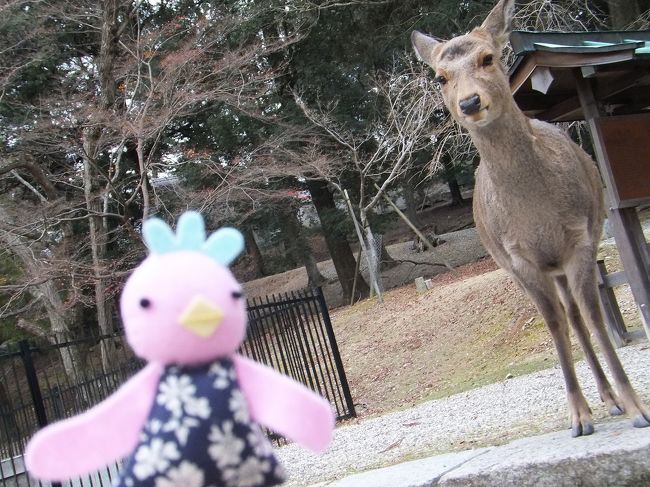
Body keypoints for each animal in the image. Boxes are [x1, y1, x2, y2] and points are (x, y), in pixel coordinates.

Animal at [411, 0, 650, 437]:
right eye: (440, 76)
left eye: (488, 58)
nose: (469, 103)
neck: (536, 214)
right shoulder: (517, 257)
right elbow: (553, 323)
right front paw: (578, 417)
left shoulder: (580, 238)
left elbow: (595, 316)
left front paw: (635, 406)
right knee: (568, 316)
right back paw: (601, 402)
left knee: (578, 313)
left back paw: (611, 400)